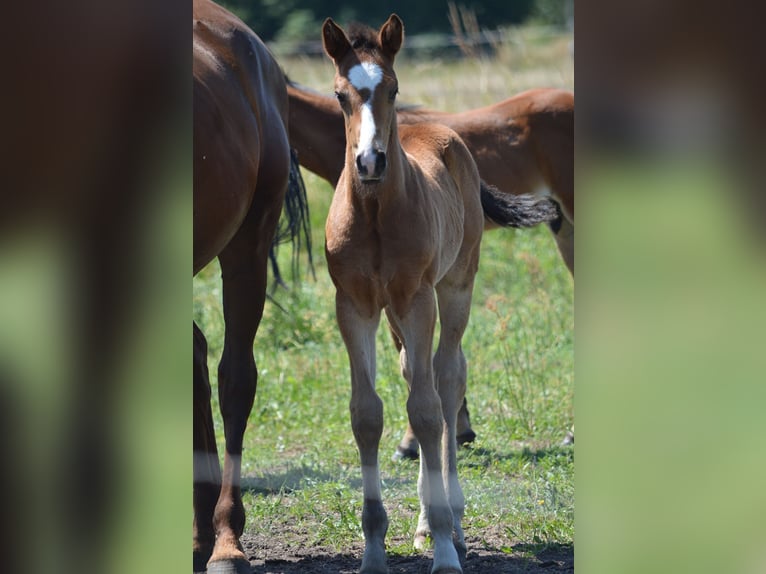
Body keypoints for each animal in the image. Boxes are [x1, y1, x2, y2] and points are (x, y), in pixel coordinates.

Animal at [320, 14, 560, 574]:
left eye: (393, 87)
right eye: (340, 95)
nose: (370, 162)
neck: (375, 216)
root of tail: (445, 131)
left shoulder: (418, 298)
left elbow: (428, 412)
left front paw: (448, 552)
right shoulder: (355, 305)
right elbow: (367, 414)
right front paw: (373, 552)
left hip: (454, 288)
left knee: (448, 380)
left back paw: (452, 523)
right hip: (398, 313)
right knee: (416, 373)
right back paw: (427, 521)